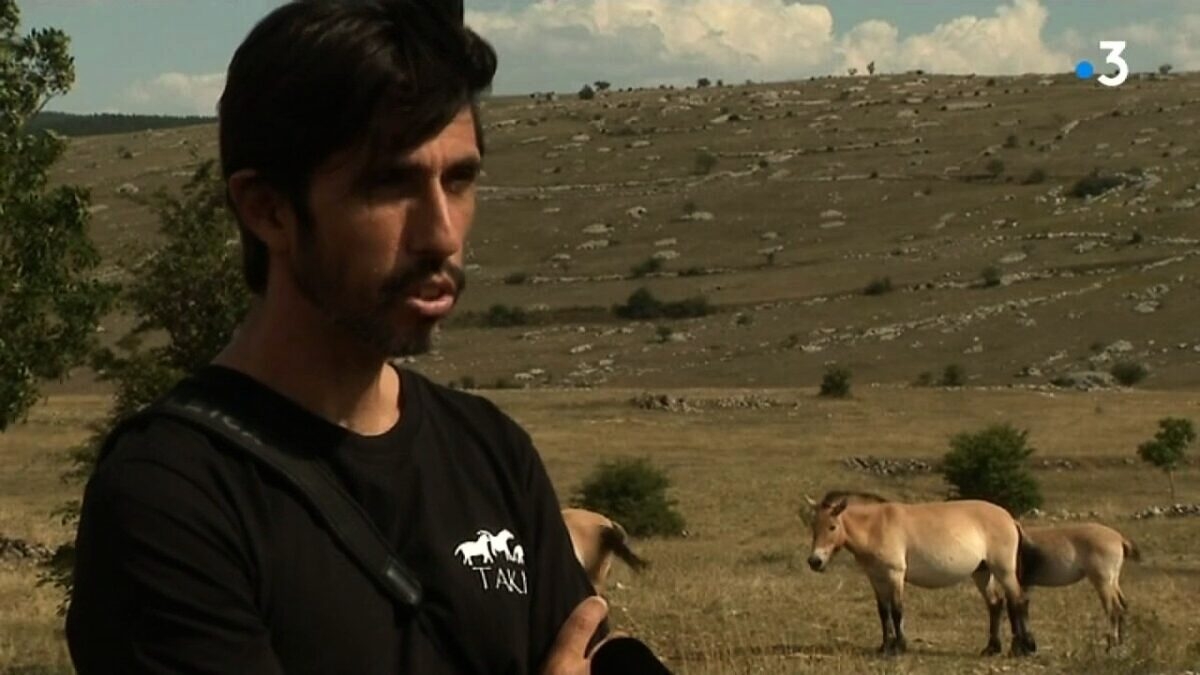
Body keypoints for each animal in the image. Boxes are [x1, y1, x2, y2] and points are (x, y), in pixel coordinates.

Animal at [802, 491, 1038, 657]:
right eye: (813, 527)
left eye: (832, 527)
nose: (815, 561)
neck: (876, 525)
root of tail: (1010, 519)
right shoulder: (876, 578)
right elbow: (883, 612)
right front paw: (884, 646)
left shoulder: (894, 574)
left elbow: (897, 610)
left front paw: (899, 647)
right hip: (982, 572)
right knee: (997, 604)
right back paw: (993, 648)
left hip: (1004, 570)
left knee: (1019, 601)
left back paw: (1024, 648)